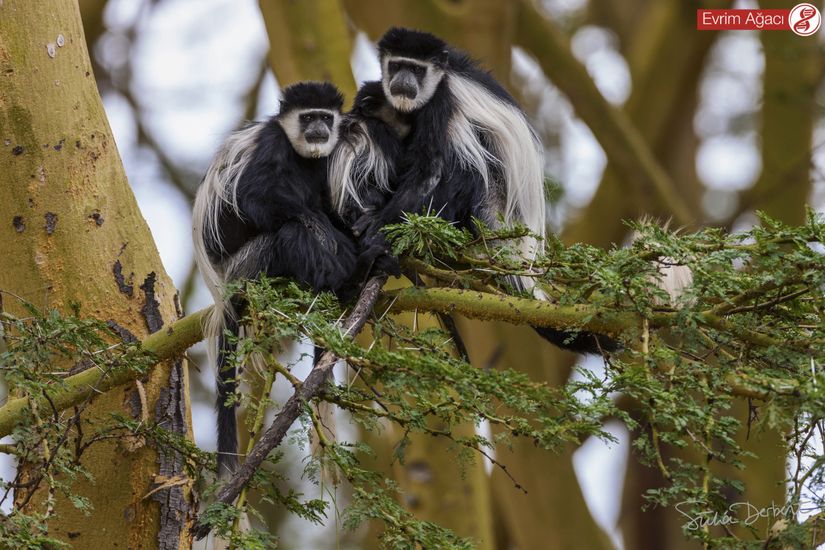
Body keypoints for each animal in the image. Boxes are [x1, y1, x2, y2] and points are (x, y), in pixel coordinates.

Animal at [193, 82, 376, 478]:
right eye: (307, 118)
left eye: (325, 118)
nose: (318, 130)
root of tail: (223, 284)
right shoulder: (272, 143)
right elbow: (253, 196)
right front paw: (320, 229)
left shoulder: (324, 162)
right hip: (250, 261)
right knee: (287, 233)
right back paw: (334, 272)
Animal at [330, 30, 616, 356]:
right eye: (397, 65)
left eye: (416, 69)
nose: (403, 81)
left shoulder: (442, 101)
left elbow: (429, 171)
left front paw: (376, 231)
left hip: (487, 193)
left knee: (465, 161)